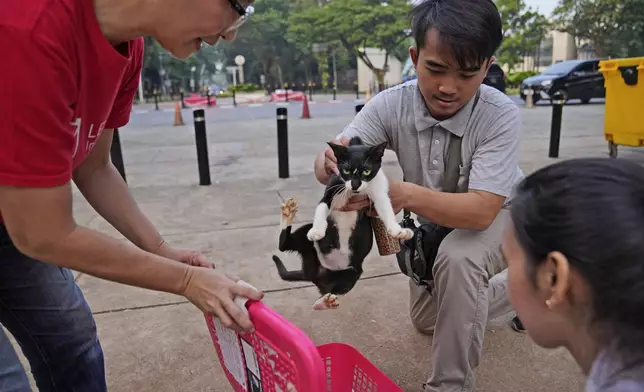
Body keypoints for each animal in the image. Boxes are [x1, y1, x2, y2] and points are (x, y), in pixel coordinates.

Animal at [270, 136, 412, 310]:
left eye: (366, 170)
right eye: (347, 171)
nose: (355, 185)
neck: (353, 193)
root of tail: (316, 273)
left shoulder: (378, 190)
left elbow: (385, 208)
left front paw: (398, 230)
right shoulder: (332, 187)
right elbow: (322, 206)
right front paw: (318, 230)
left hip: (351, 272)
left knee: (330, 291)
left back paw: (325, 302)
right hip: (307, 240)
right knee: (284, 244)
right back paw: (288, 213)